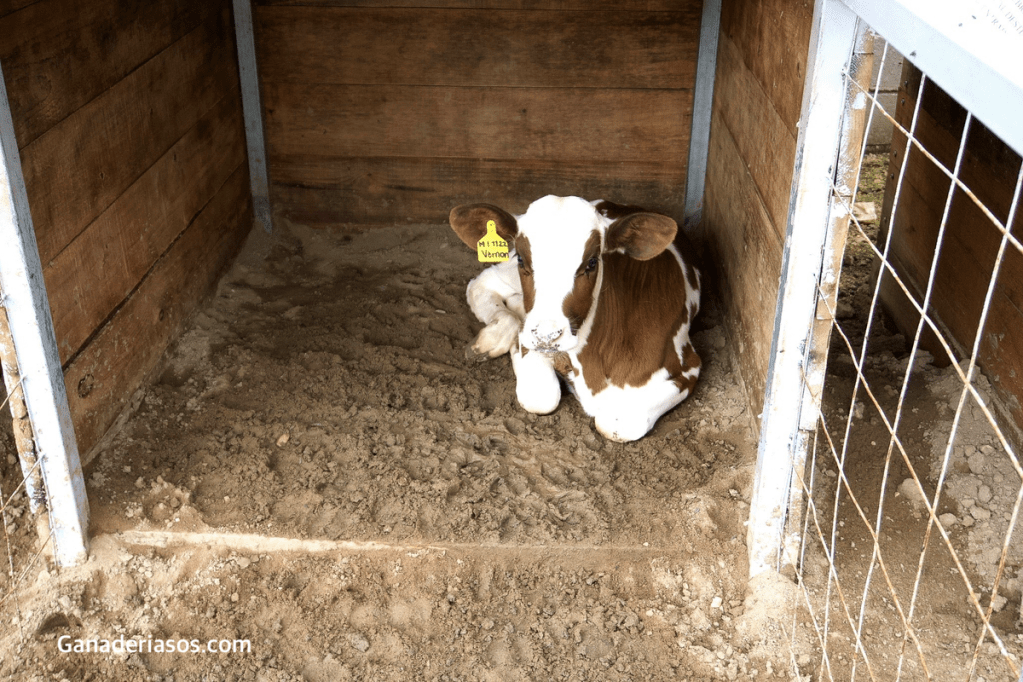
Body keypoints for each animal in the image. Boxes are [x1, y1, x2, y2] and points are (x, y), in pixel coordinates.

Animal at [449, 195, 701, 442]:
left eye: (592, 262)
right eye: (522, 259)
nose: (546, 335)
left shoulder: (688, 369)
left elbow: (616, 425)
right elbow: (541, 397)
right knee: (482, 283)